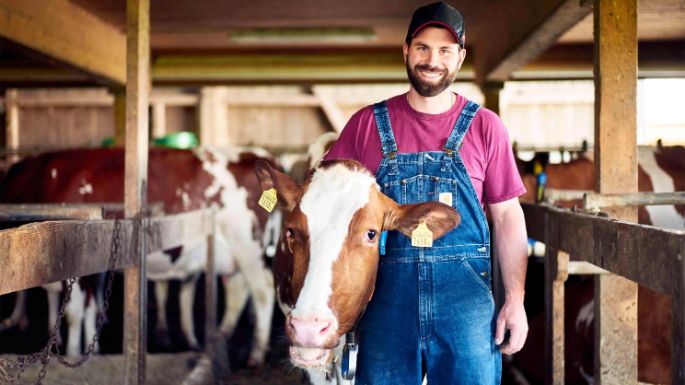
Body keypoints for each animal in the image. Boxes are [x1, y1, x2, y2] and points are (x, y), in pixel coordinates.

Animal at [1, 145, 278, 364]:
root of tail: (256, 154)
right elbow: (91, 306)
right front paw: (92, 349)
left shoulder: (75, 263)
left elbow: (75, 312)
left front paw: (71, 354)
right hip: (235, 255)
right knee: (238, 292)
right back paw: (221, 335)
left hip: (249, 247)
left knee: (262, 292)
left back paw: (256, 353)